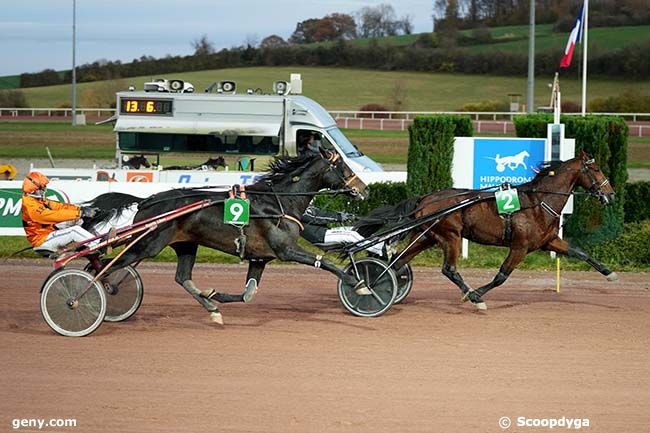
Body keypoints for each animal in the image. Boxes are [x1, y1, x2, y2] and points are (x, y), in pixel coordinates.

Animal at [84, 150, 368, 322]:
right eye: (342, 166)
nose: (364, 189)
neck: (279, 202)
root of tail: (147, 200)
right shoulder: (286, 250)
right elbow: (326, 262)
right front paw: (359, 284)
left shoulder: (260, 258)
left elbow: (248, 293)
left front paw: (215, 296)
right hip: (147, 244)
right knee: (103, 265)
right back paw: (97, 291)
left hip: (185, 244)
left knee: (182, 277)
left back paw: (211, 308)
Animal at [356, 150, 616, 308]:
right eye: (596, 170)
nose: (611, 194)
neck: (538, 202)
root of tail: (425, 199)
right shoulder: (519, 246)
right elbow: (501, 276)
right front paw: (477, 295)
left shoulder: (548, 241)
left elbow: (581, 253)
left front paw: (609, 273)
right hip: (451, 236)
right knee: (449, 269)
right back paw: (471, 295)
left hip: (429, 236)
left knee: (398, 262)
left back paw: (380, 285)